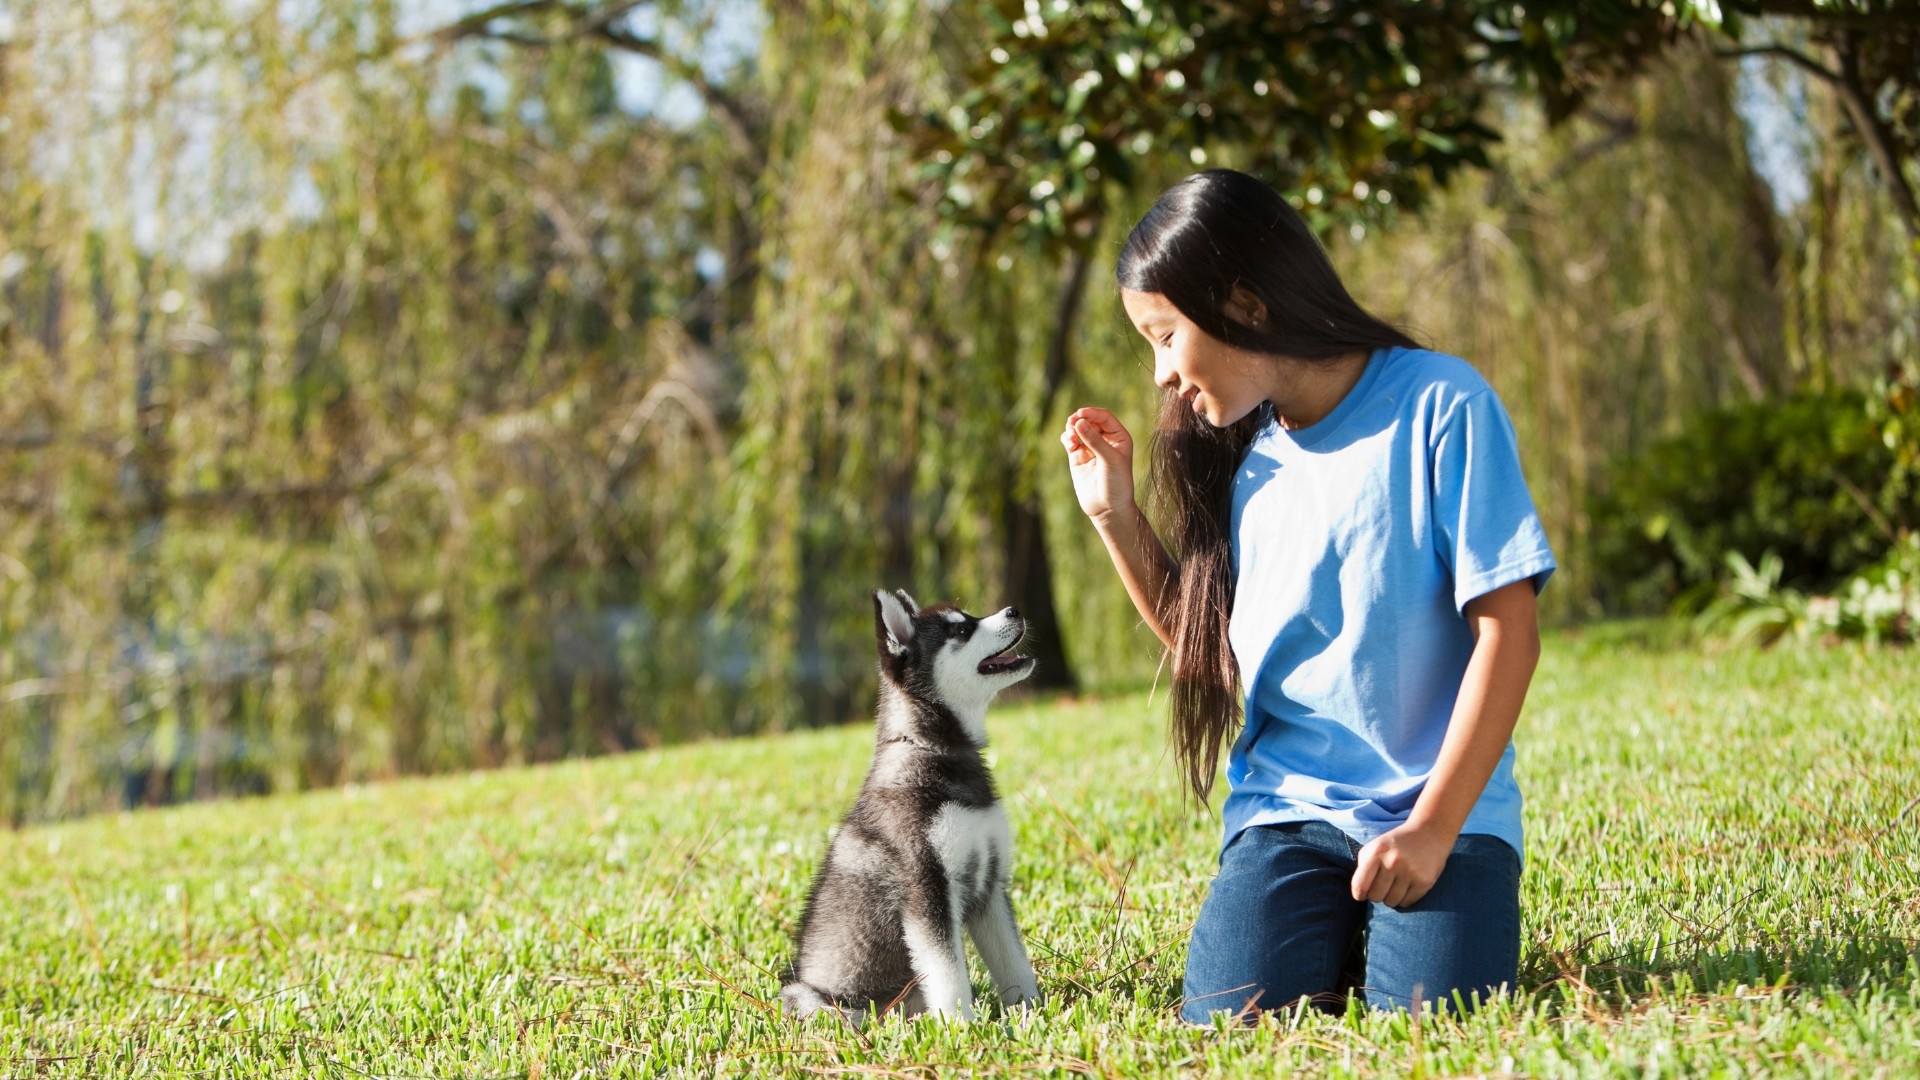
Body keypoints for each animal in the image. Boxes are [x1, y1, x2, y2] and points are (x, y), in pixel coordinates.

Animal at [779, 589, 1043, 1024]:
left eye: (968, 617)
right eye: (960, 630)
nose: (1015, 609)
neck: (934, 750)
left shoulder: (990, 886)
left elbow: (1014, 962)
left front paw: (1030, 1011)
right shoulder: (926, 890)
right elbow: (949, 973)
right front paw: (963, 1028)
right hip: (815, 998)